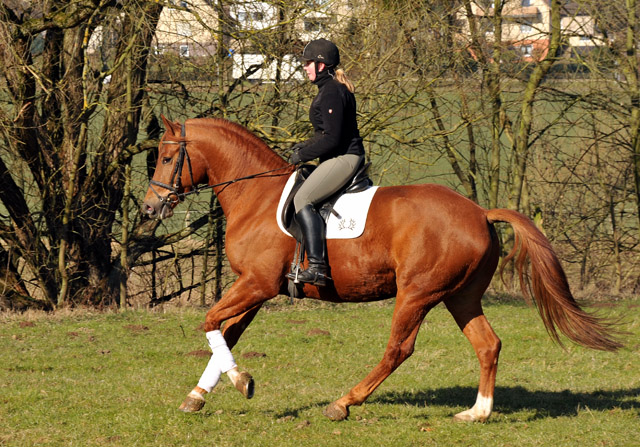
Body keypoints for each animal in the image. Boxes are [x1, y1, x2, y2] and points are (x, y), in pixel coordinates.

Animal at [142, 116, 624, 424]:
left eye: (165, 158)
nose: (149, 207)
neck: (256, 196)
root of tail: (480, 212)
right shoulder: (257, 289)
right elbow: (226, 334)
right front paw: (198, 396)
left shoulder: (256, 284)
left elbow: (211, 322)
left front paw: (242, 381)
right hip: (460, 296)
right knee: (488, 345)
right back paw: (478, 412)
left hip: (417, 293)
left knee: (399, 349)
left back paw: (343, 403)